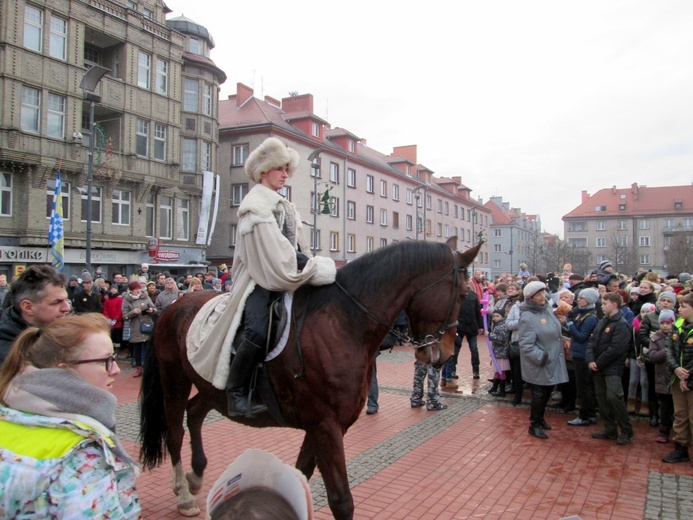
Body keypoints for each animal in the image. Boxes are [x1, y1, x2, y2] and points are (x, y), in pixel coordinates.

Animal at [138, 237, 478, 520]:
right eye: (464, 293)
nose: (446, 354)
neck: (344, 323)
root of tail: (173, 307)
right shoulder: (326, 426)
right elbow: (341, 500)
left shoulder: (325, 425)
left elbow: (299, 478)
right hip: (174, 381)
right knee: (174, 433)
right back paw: (184, 494)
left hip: (210, 386)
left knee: (195, 413)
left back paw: (196, 476)